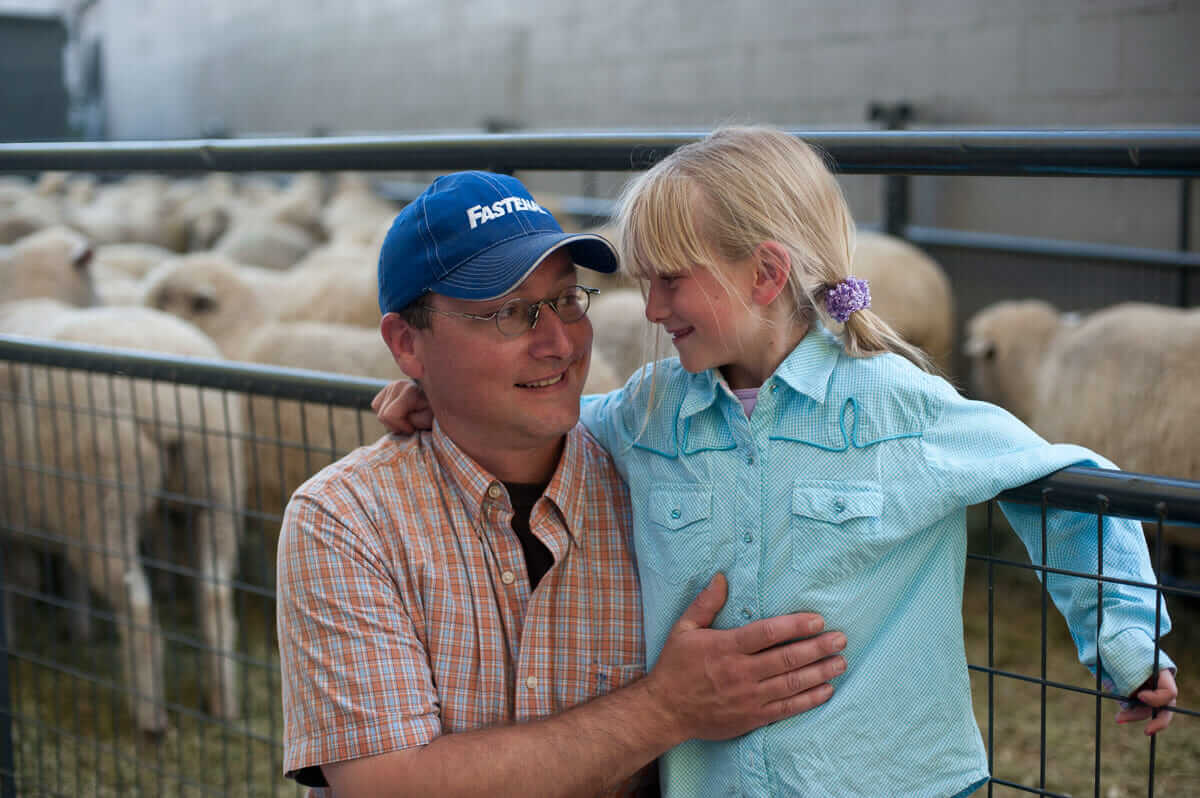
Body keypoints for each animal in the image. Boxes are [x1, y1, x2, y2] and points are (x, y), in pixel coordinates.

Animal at [0, 300, 246, 734]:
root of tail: (172, 402)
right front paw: (78, 629)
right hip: (215, 488)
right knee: (215, 598)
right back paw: (222, 703)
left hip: (104, 503)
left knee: (138, 610)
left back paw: (150, 718)